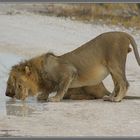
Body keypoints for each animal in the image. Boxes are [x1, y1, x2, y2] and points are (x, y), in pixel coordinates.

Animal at [5, 31, 139, 101]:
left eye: (18, 85)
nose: (11, 95)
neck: (40, 73)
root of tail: (123, 33)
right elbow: (49, 89)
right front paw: (43, 96)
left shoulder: (69, 72)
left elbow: (61, 87)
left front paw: (55, 99)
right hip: (112, 68)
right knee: (117, 84)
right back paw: (110, 97)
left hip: (114, 63)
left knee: (124, 83)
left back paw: (116, 99)